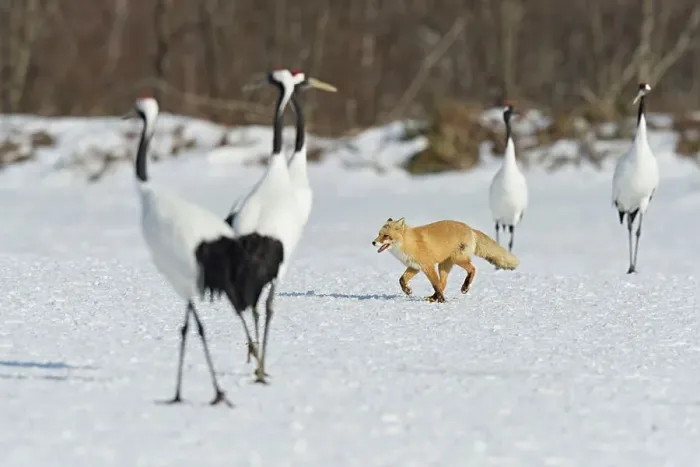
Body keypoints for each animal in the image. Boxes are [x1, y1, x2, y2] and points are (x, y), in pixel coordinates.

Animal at [371, 217, 519, 303]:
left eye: (386, 236)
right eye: (378, 234)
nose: (373, 242)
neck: (408, 243)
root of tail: (470, 229)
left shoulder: (428, 266)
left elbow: (435, 284)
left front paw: (443, 301)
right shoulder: (415, 267)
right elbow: (402, 280)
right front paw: (407, 291)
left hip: (457, 259)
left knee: (472, 269)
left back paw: (464, 287)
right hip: (444, 265)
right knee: (443, 284)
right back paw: (433, 298)